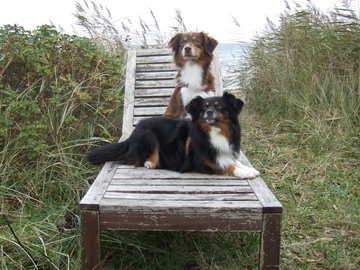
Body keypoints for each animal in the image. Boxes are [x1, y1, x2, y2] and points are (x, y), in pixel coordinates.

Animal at [88, 93, 260, 179]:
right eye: (204, 108)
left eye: (220, 107)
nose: (209, 112)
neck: (214, 131)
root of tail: (131, 135)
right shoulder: (199, 163)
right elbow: (228, 166)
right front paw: (244, 173)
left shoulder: (222, 152)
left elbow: (234, 161)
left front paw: (248, 169)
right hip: (148, 134)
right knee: (134, 159)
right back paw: (150, 163)